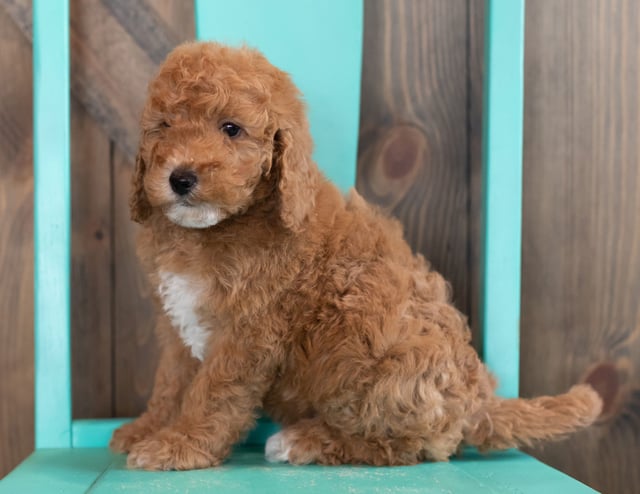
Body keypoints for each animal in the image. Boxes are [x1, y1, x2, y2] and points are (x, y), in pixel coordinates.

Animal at [107, 42, 604, 470]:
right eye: (164, 127)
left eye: (231, 129)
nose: (181, 178)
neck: (211, 231)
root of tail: (477, 400)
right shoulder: (176, 324)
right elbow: (171, 382)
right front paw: (147, 429)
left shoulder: (249, 330)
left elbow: (213, 392)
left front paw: (178, 445)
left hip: (368, 337)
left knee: (411, 447)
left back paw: (305, 441)